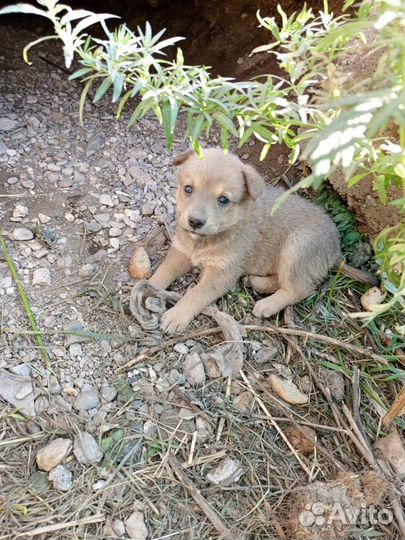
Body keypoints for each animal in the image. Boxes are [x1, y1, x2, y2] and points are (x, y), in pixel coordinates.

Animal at [148, 148, 376, 334]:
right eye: (188, 189)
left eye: (223, 199)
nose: (195, 221)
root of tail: (336, 248)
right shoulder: (181, 251)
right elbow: (164, 270)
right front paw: (148, 285)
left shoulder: (222, 273)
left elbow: (196, 293)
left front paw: (177, 315)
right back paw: (258, 282)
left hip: (296, 246)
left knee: (300, 287)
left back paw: (267, 304)